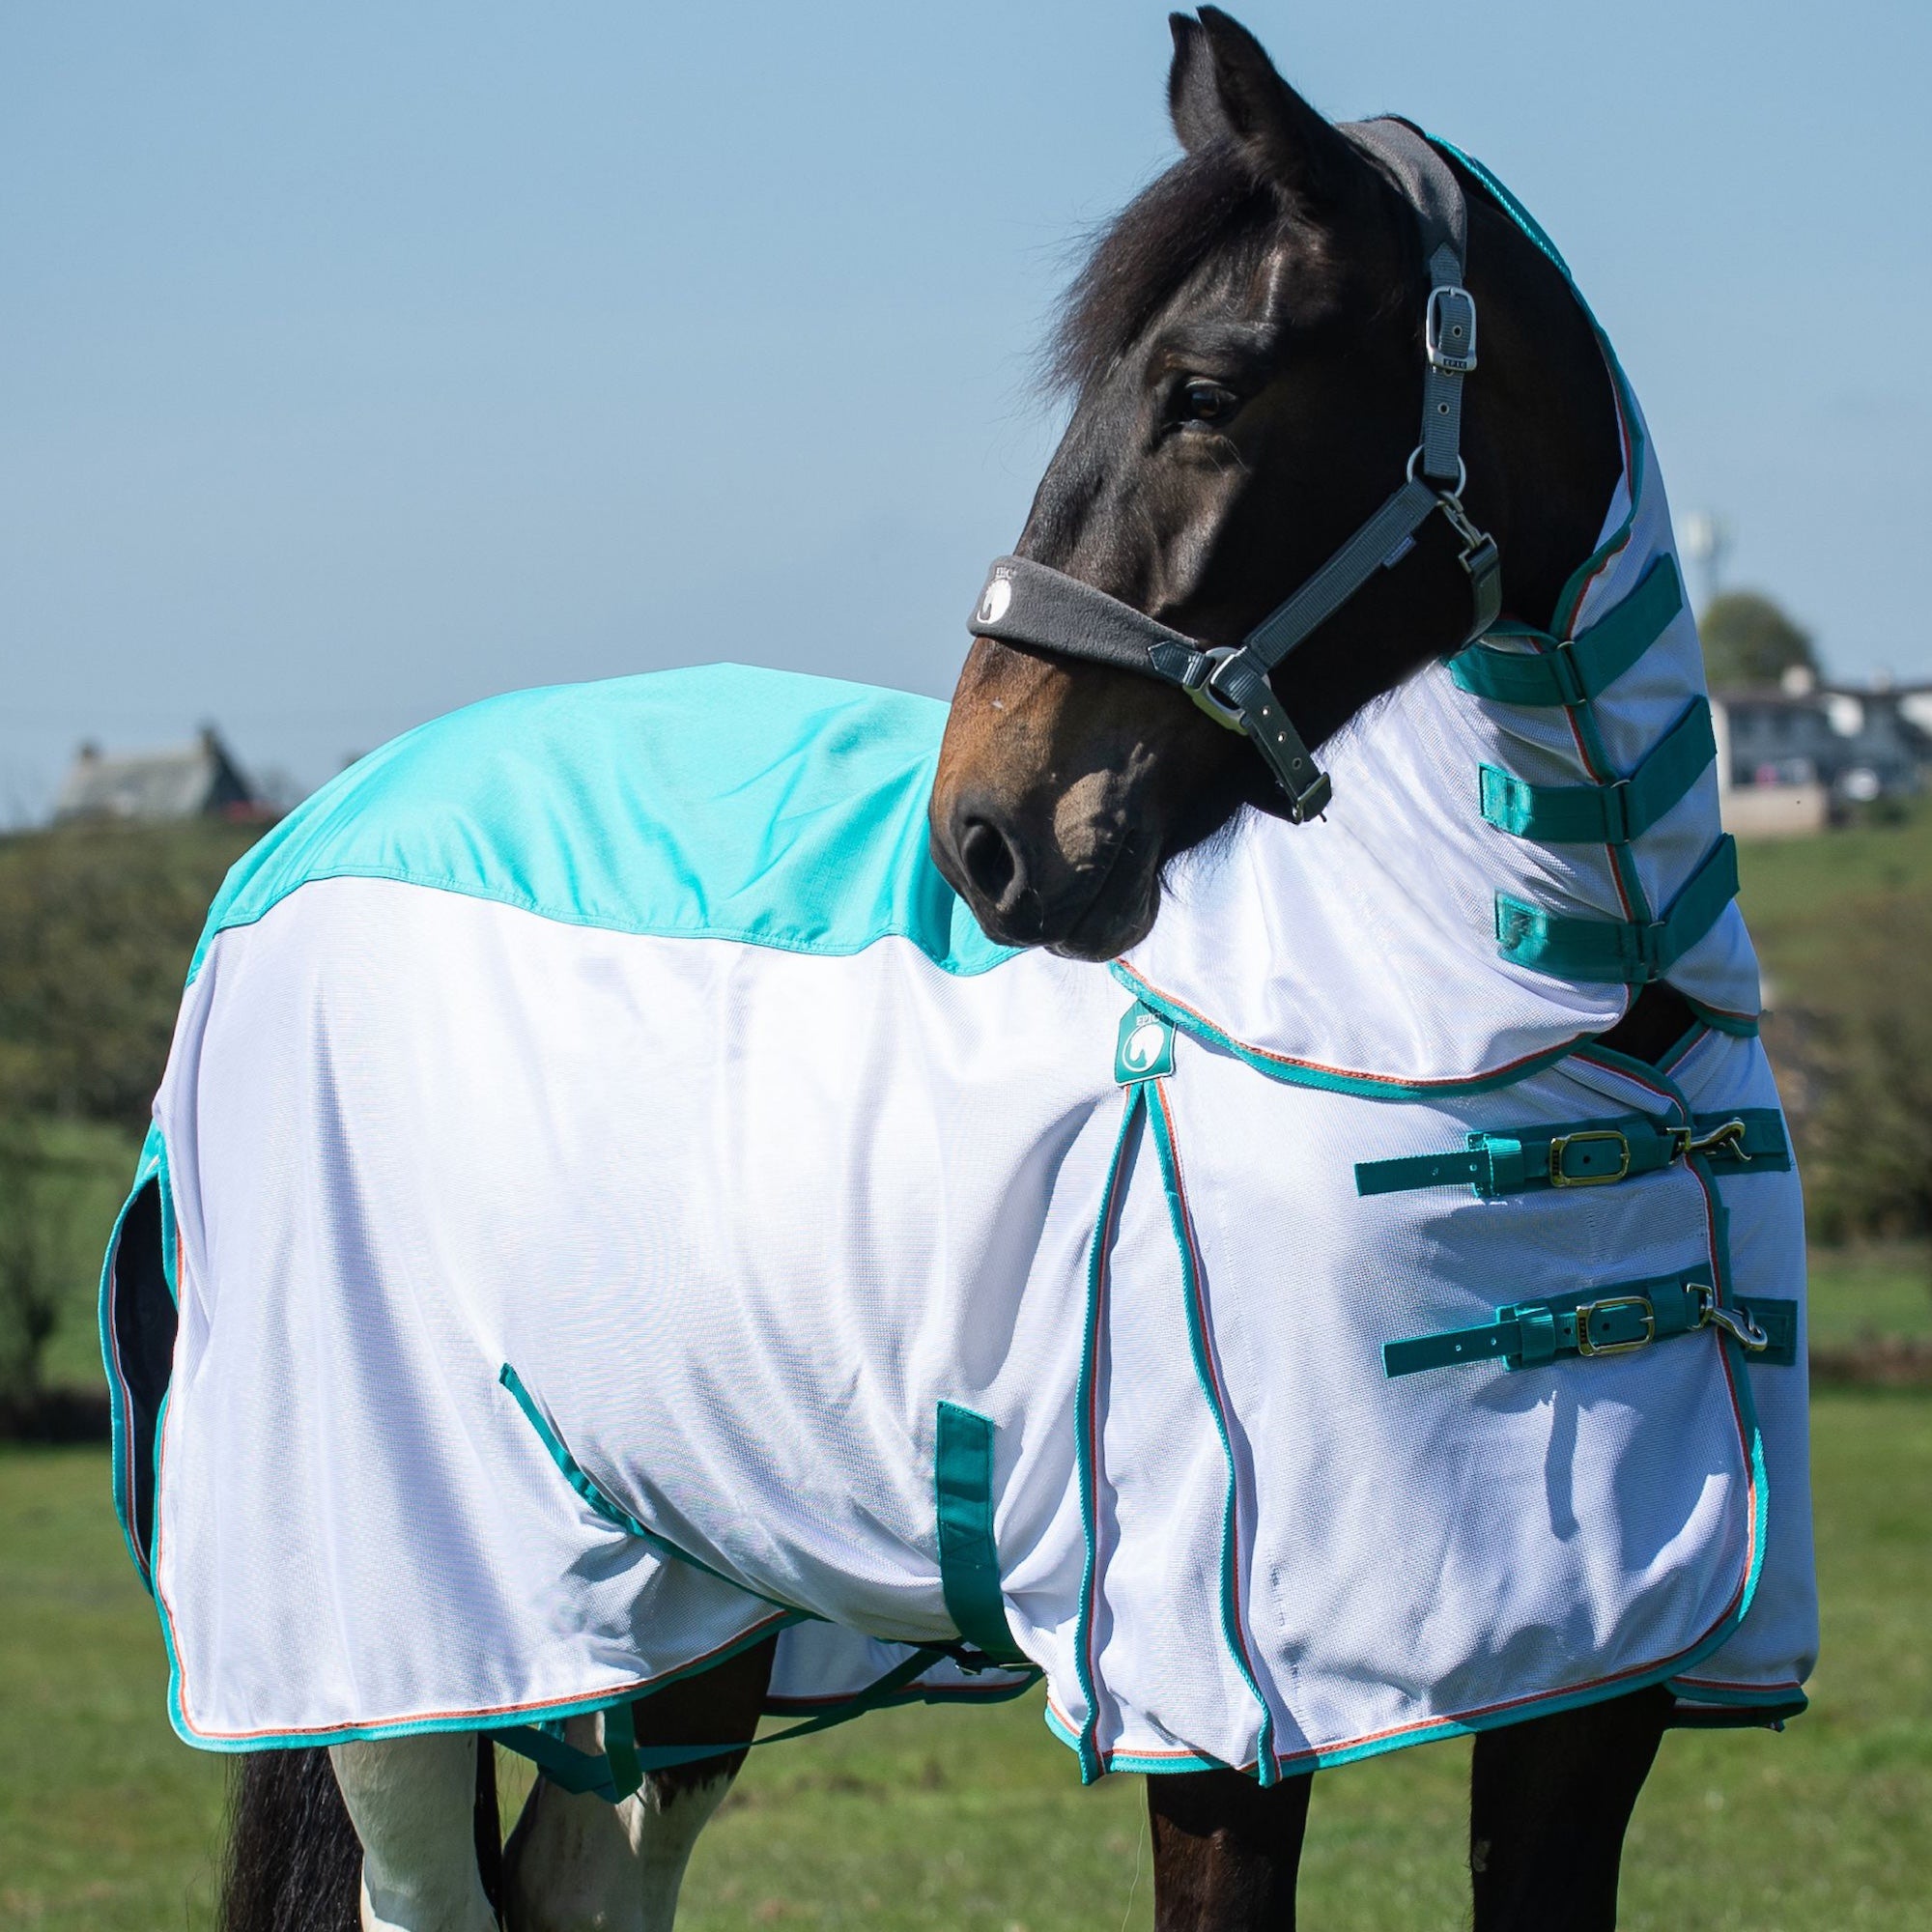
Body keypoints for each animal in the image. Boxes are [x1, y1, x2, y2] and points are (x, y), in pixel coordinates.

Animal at [102, 12, 1813, 1930]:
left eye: (1202, 389)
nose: (990, 832)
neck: (1572, 1019)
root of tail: (290, 859)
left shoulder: (1599, 1697)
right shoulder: (1222, 1712)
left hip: (674, 1616)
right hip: (407, 1634)